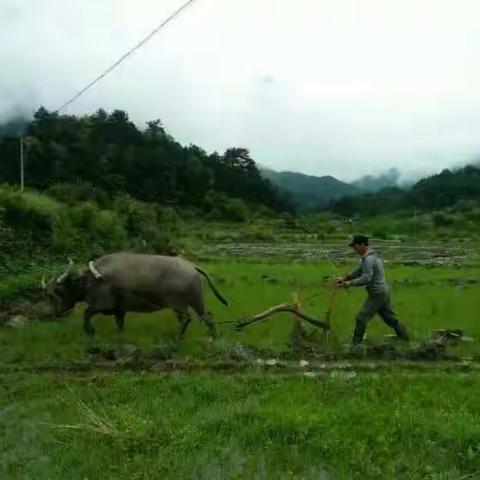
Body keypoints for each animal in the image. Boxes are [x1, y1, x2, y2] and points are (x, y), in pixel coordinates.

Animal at [41, 255, 229, 338]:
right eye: (48, 294)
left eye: (56, 292)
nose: (57, 313)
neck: (90, 280)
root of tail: (192, 267)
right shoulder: (119, 309)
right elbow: (119, 323)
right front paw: (120, 335)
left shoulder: (101, 305)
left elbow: (86, 314)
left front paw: (90, 331)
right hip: (196, 300)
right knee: (207, 316)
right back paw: (212, 335)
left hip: (178, 304)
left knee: (186, 319)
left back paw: (176, 338)